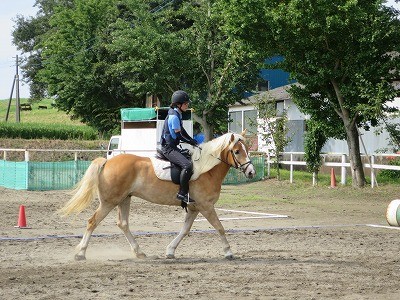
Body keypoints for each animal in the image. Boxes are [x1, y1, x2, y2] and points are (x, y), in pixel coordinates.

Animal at [60, 131, 256, 260]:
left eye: (247, 149)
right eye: (237, 151)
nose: (251, 172)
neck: (206, 170)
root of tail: (108, 161)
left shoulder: (194, 208)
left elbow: (185, 230)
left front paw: (170, 251)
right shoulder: (206, 206)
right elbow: (219, 227)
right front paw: (228, 252)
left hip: (124, 199)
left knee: (123, 224)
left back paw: (139, 252)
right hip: (109, 201)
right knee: (92, 222)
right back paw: (81, 253)